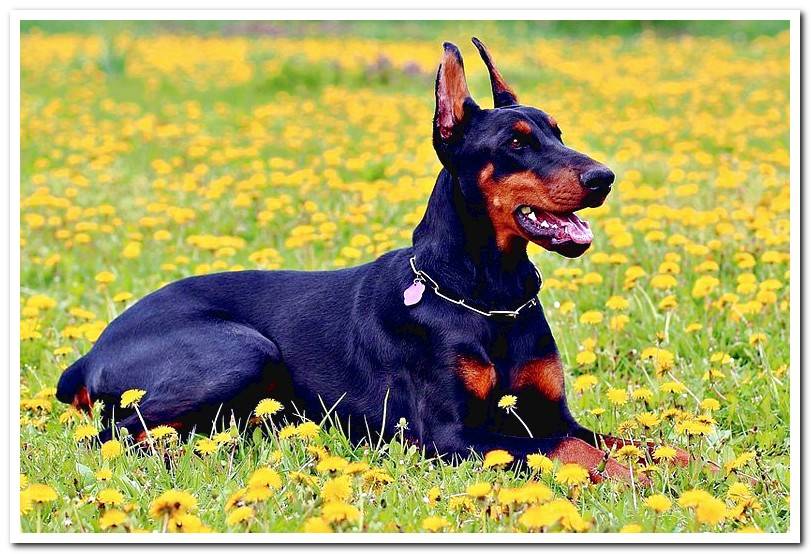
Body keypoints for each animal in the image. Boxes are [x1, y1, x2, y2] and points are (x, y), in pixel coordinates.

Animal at [58, 37, 692, 478]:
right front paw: (634, 480)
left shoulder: (551, 412)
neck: (488, 297)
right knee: (115, 432)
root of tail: (88, 355)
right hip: (242, 351)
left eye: (558, 132)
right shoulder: (450, 436)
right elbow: (570, 451)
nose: (604, 178)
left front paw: (694, 467)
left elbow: (635, 441)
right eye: (516, 143)